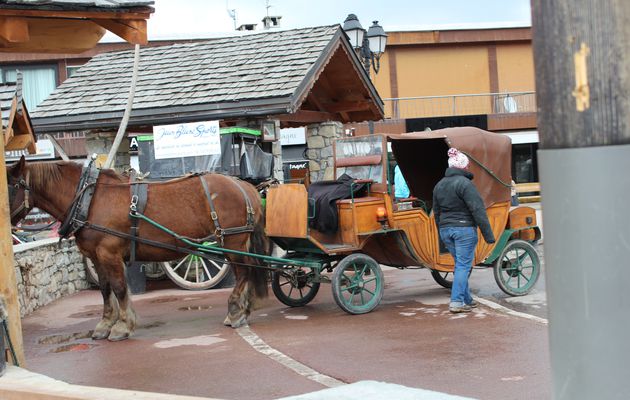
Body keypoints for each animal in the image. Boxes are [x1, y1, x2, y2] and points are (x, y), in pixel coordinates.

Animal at [6, 156, 272, 340]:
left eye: (9, 187)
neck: (90, 198)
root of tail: (244, 186)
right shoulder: (96, 257)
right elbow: (105, 290)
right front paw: (105, 324)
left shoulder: (109, 254)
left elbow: (120, 288)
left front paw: (123, 326)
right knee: (248, 270)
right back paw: (245, 308)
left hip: (232, 242)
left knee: (244, 272)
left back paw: (236, 311)